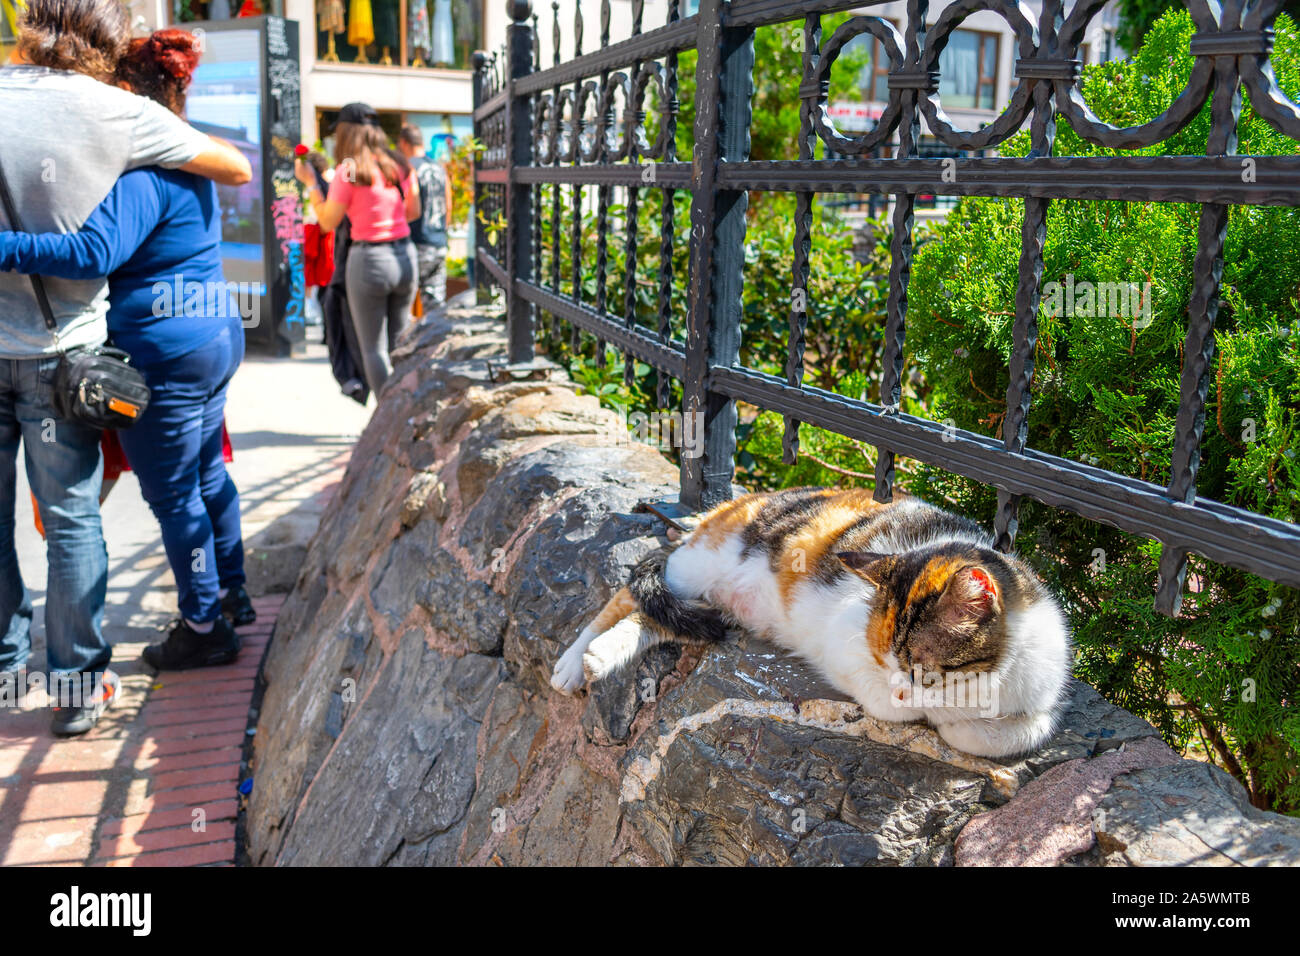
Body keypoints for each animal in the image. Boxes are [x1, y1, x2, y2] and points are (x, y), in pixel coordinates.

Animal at [553, 489, 1071, 759]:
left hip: (706, 604)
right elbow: (895, 707)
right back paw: (576, 661)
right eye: (886, 660)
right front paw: (932, 714)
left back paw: (602, 655)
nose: (904, 689)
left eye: (924, 668)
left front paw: (961, 722)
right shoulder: (845, 645)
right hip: (698, 564)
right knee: (626, 593)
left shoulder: (1043, 695)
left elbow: (1022, 731)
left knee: (663, 617)